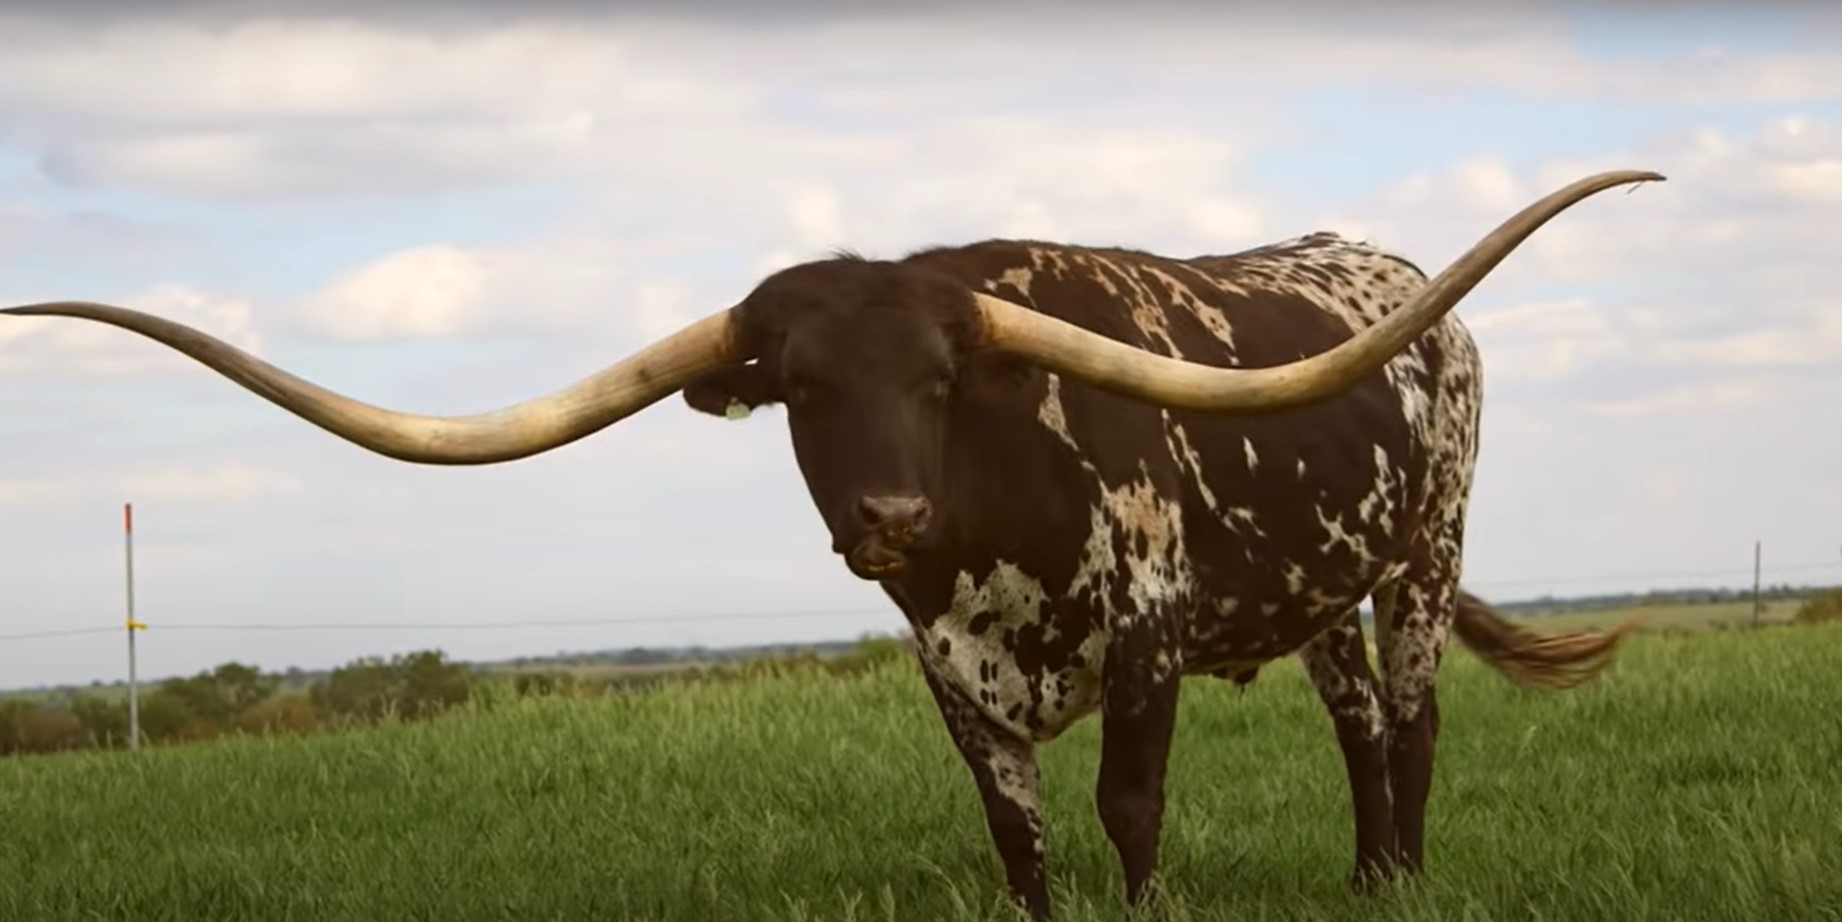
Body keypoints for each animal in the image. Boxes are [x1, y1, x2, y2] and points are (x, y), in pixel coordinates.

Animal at [3, 169, 1661, 918]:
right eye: (800, 390)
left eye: (938, 382)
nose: (889, 516)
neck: (986, 521)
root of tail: (1395, 283)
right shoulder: (945, 665)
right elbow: (1017, 831)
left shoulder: (1146, 631)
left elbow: (1126, 808)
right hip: (1318, 587)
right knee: (1359, 719)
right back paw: (1370, 871)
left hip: (1424, 547)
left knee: (1416, 710)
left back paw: (1403, 876)